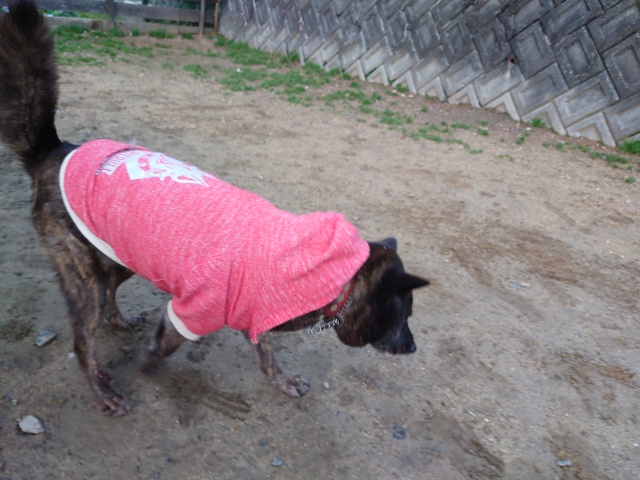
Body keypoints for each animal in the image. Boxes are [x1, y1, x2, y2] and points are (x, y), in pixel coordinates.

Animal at [0, 0, 429, 417]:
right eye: (401, 316)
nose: (412, 347)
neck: (322, 271)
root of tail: (55, 150)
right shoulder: (191, 313)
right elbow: (166, 347)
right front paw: (147, 366)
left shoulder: (252, 315)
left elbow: (266, 353)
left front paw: (283, 379)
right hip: (82, 273)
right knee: (83, 336)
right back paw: (102, 392)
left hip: (118, 255)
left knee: (107, 298)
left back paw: (118, 320)